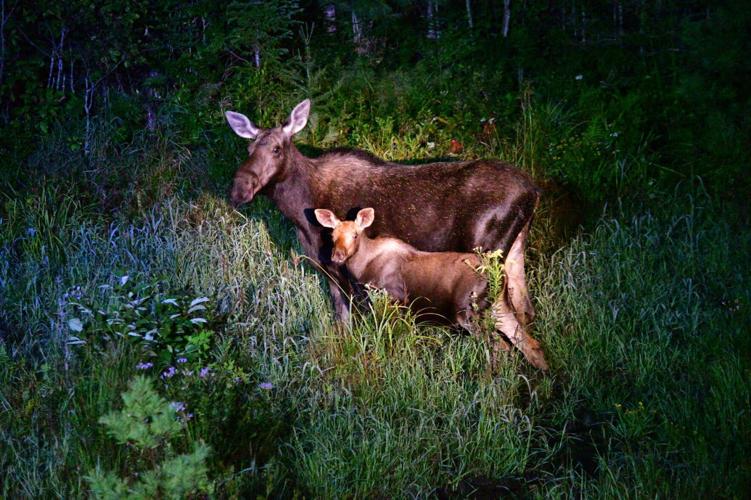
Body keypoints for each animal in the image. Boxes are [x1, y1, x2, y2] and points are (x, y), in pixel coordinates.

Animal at [225, 99, 548, 369]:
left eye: (276, 149)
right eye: (248, 150)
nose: (239, 189)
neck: (299, 210)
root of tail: (533, 192)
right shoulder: (328, 269)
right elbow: (343, 323)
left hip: (487, 260)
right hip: (514, 253)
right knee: (525, 312)